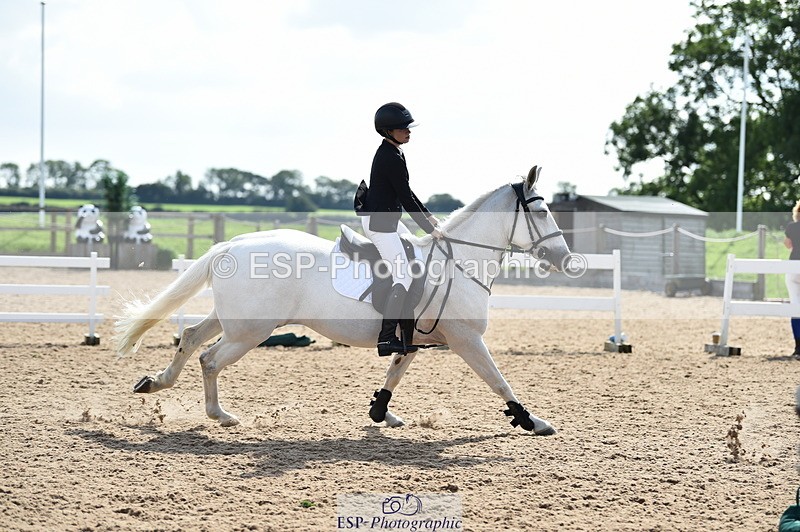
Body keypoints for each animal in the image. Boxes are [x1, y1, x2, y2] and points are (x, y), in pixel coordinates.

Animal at [115, 166, 574, 435]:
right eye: (542, 211)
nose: (565, 259)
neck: (458, 262)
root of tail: (233, 243)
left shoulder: (414, 338)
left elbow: (394, 373)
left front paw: (380, 413)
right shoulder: (467, 340)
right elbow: (499, 380)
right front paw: (532, 420)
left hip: (236, 321)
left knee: (191, 337)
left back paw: (155, 382)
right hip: (250, 331)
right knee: (209, 359)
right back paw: (219, 415)